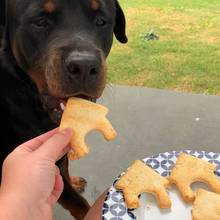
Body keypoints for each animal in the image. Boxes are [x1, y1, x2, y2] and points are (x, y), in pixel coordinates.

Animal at [0, 0, 127, 218]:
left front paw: (72, 181)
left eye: (101, 21)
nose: (84, 66)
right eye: (40, 21)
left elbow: (65, 166)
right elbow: (78, 203)